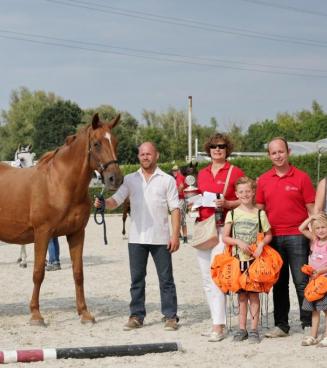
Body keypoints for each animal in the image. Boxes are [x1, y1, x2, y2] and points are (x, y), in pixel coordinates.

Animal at [0, 113, 123, 324]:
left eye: (115, 142)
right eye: (97, 143)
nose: (115, 178)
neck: (59, 184)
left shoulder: (76, 234)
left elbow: (78, 273)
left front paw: (84, 313)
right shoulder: (42, 233)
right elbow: (38, 273)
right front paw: (36, 314)